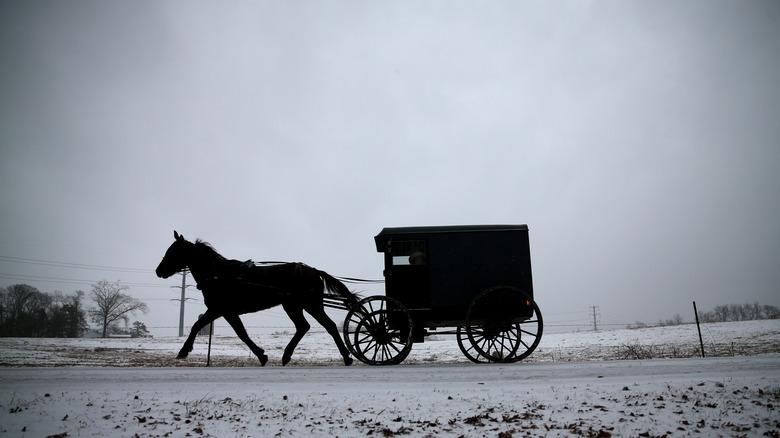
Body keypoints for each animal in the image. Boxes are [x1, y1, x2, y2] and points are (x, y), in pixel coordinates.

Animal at [153, 231, 360, 364]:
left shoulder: (220, 309)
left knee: (325, 326)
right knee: (309, 326)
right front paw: (261, 355)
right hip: (296, 305)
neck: (218, 274)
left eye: (173, 251)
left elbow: (213, 328)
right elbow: (234, 331)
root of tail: (314, 270)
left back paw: (344, 356)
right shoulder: (223, 311)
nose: (158, 271)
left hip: (307, 304)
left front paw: (183, 351)